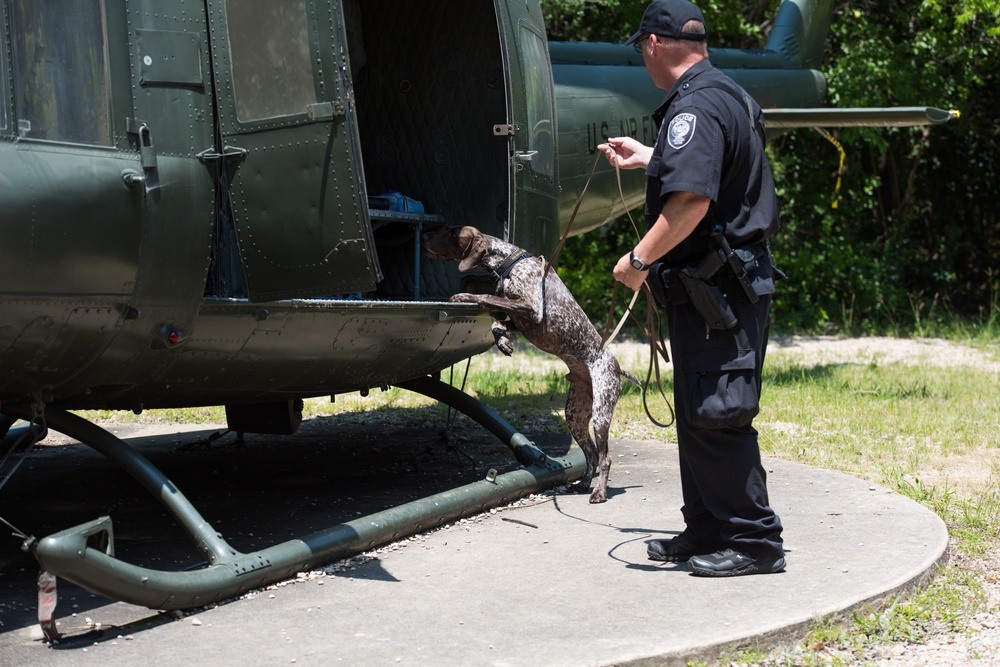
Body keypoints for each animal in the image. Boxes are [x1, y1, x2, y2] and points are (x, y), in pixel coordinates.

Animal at [422, 227, 640, 504]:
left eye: (450, 232)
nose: (424, 237)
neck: (510, 261)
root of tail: (617, 367)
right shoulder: (521, 318)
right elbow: (497, 321)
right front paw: (503, 341)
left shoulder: (532, 309)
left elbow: (486, 298)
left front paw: (463, 296)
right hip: (575, 415)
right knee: (591, 455)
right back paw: (583, 484)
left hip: (601, 413)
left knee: (605, 458)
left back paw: (599, 493)